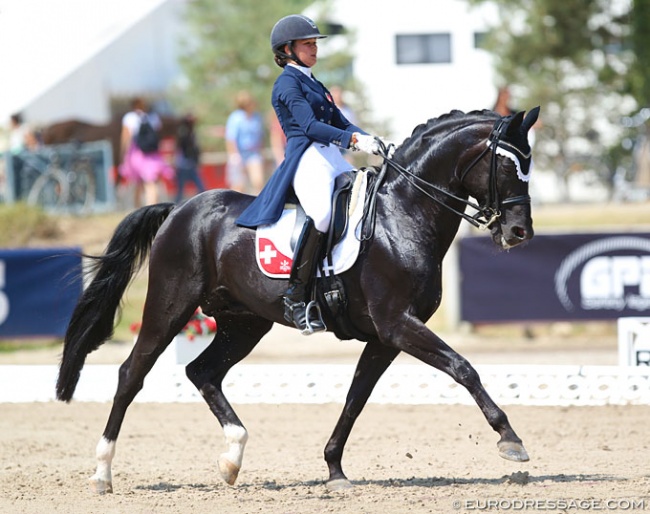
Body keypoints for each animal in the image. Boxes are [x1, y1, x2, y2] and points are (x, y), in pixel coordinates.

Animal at [55, 106, 540, 490]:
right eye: (507, 166)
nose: (520, 232)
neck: (401, 215)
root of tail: (180, 208)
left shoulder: (384, 337)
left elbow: (356, 398)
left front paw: (335, 470)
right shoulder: (397, 324)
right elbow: (463, 368)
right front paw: (510, 440)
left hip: (244, 322)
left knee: (202, 372)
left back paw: (232, 459)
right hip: (169, 306)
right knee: (131, 375)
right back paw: (103, 473)